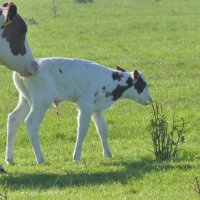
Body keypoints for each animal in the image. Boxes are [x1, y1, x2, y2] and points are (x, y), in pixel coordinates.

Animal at [6, 57, 153, 163]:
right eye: (142, 84)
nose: (150, 99)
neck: (108, 81)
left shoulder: (96, 109)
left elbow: (103, 130)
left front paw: (108, 154)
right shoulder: (85, 107)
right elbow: (82, 130)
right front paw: (76, 156)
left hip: (25, 100)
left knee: (13, 119)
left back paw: (10, 159)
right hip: (41, 102)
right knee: (31, 123)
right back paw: (40, 158)